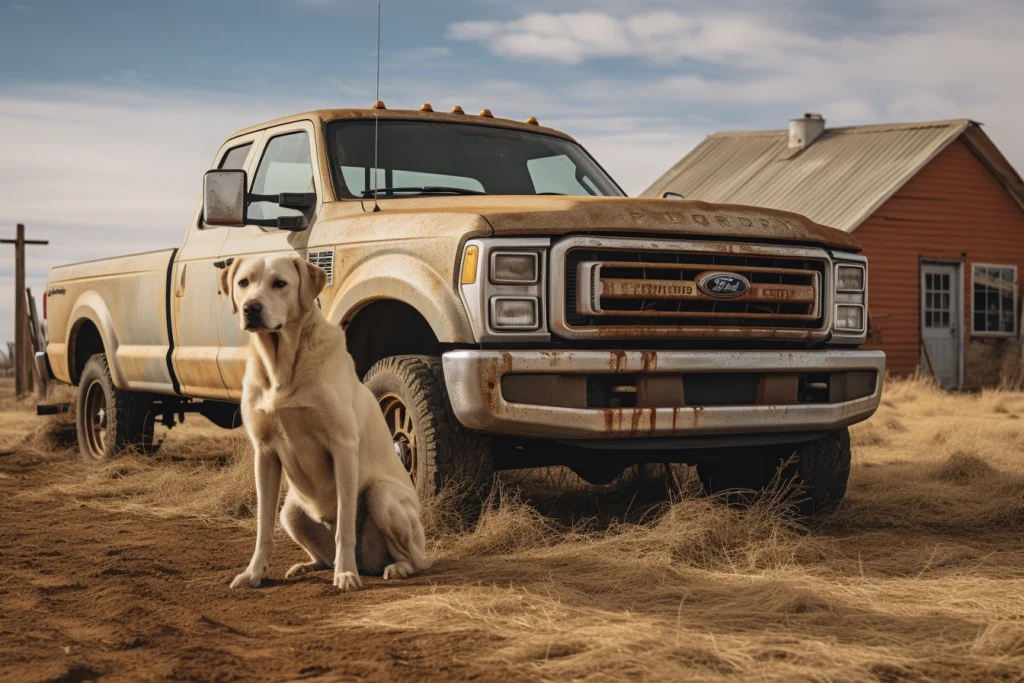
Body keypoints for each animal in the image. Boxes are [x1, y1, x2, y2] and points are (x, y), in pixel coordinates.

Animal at [222, 253, 430, 589]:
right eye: (243, 283)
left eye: (280, 283)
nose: (250, 308)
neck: (282, 368)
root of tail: (367, 562)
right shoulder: (264, 453)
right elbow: (263, 526)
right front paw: (254, 574)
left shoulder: (342, 447)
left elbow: (344, 525)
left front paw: (345, 574)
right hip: (291, 511)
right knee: (321, 555)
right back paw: (307, 567)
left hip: (381, 496)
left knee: (416, 559)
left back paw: (392, 568)